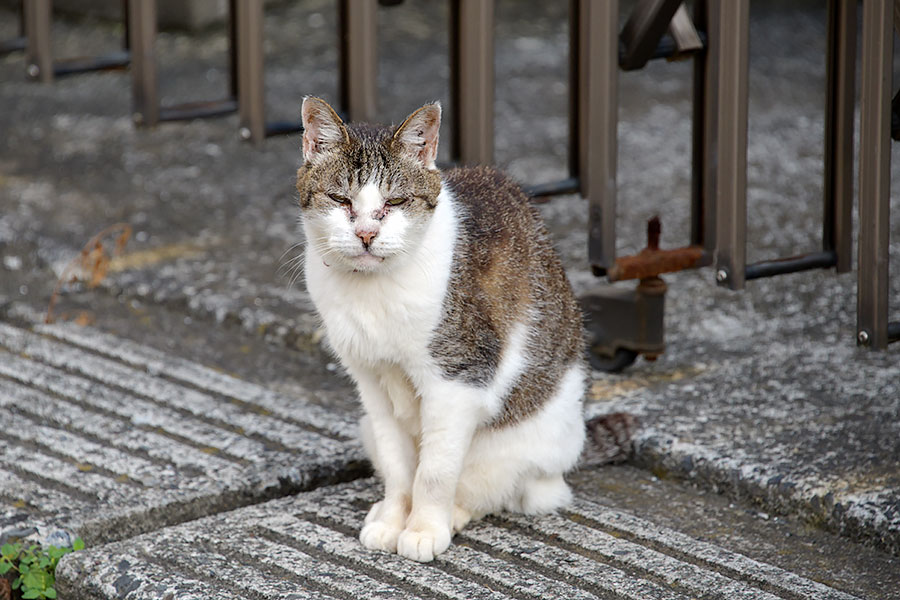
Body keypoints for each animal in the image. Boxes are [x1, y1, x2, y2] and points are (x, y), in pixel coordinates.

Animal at [298, 97, 588, 564]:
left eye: (395, 201)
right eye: (341, 199)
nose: (366, 233)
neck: (373, 291)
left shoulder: (457, 379)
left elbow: (434, 472)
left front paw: (423, 528)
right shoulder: (370, 383)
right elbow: (398, 464)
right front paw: (392, 518)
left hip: (516, 452)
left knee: (485, 487)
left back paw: (454, 513)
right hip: (365, 425)